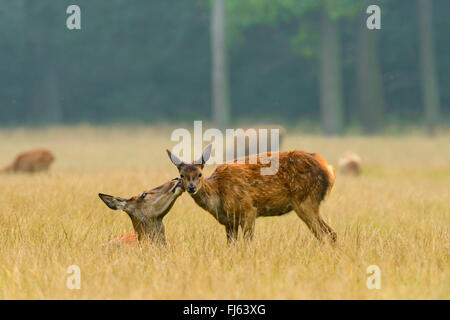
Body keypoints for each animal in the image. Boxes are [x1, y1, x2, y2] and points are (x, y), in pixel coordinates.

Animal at [167, 145, 336, 242]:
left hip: (306, 199)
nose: (191, 188)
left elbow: (248, 242)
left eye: (200, 174)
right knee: (330, 233)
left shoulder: (249, 210)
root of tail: (328, 170)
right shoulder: (229, 222)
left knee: (326, 234)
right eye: (182, 175)